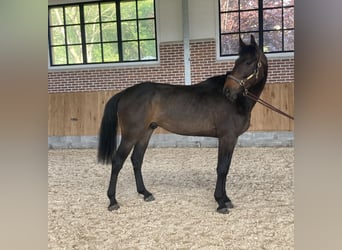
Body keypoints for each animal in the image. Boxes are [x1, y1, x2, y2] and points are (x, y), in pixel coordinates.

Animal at [97, 35, 268, 214]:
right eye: (237, 61)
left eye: (248, 62)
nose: (228, 90)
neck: (237, 102)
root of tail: (125, 93)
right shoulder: (226, 137)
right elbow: (221, 168)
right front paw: (220, 202)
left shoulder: (232, 139)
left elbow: (226, 167)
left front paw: (226, 199)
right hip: (130, 135)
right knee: (117, 161)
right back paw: (112, 200)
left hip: (145, 133)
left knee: (136, 159)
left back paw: (145, 193)